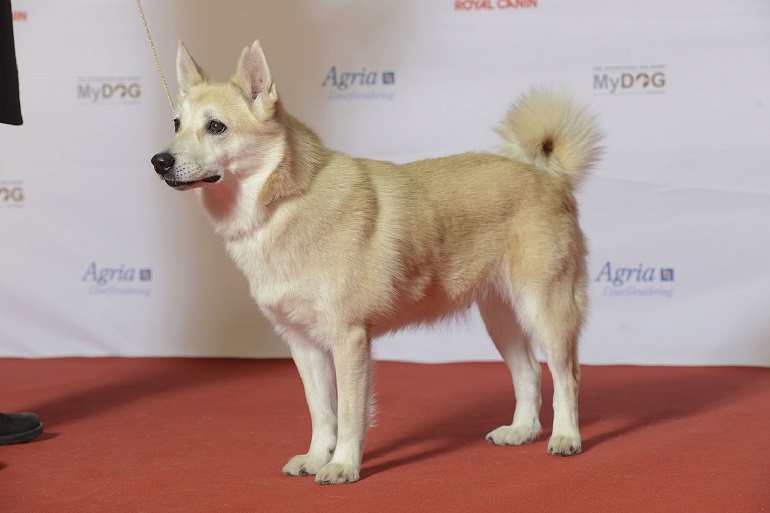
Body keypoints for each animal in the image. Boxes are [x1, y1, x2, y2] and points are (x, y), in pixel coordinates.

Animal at [152, 41, 600, 484]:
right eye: (176, 124)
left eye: (216, 127)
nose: (159, 162)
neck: (282, 204)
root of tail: (550, 176)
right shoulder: (303, 343)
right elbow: (322, 412)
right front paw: (316, 457)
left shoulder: (349, 338)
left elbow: (350, 414)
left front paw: (343, 465)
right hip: (501, 317)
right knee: (529, 374)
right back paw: (522, 430)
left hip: (545, 309)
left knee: (568, 378)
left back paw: (565, 437)